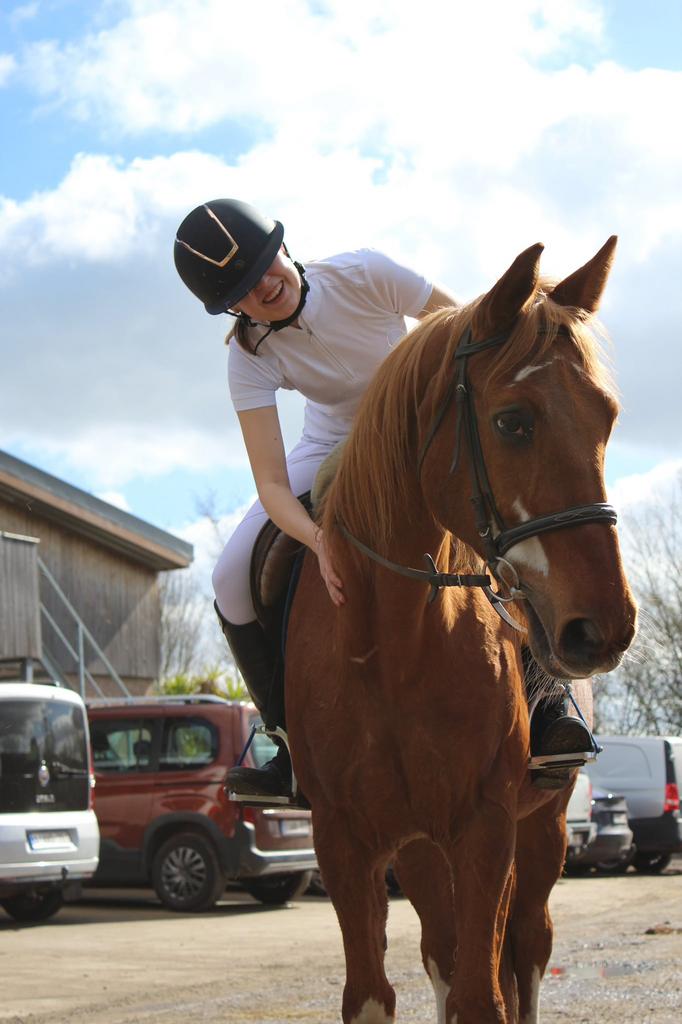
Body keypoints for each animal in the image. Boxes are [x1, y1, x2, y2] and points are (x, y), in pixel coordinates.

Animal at [285, 237, 637, 1024]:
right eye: (513, 421)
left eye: (607, 417)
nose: (605, 627)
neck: (392, 644)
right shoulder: (345, 840)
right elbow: (376, 992)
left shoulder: (487, 824)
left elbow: (486, 993)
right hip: (420, 846)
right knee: (443, 951)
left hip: (542, 827)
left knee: (527, 945)